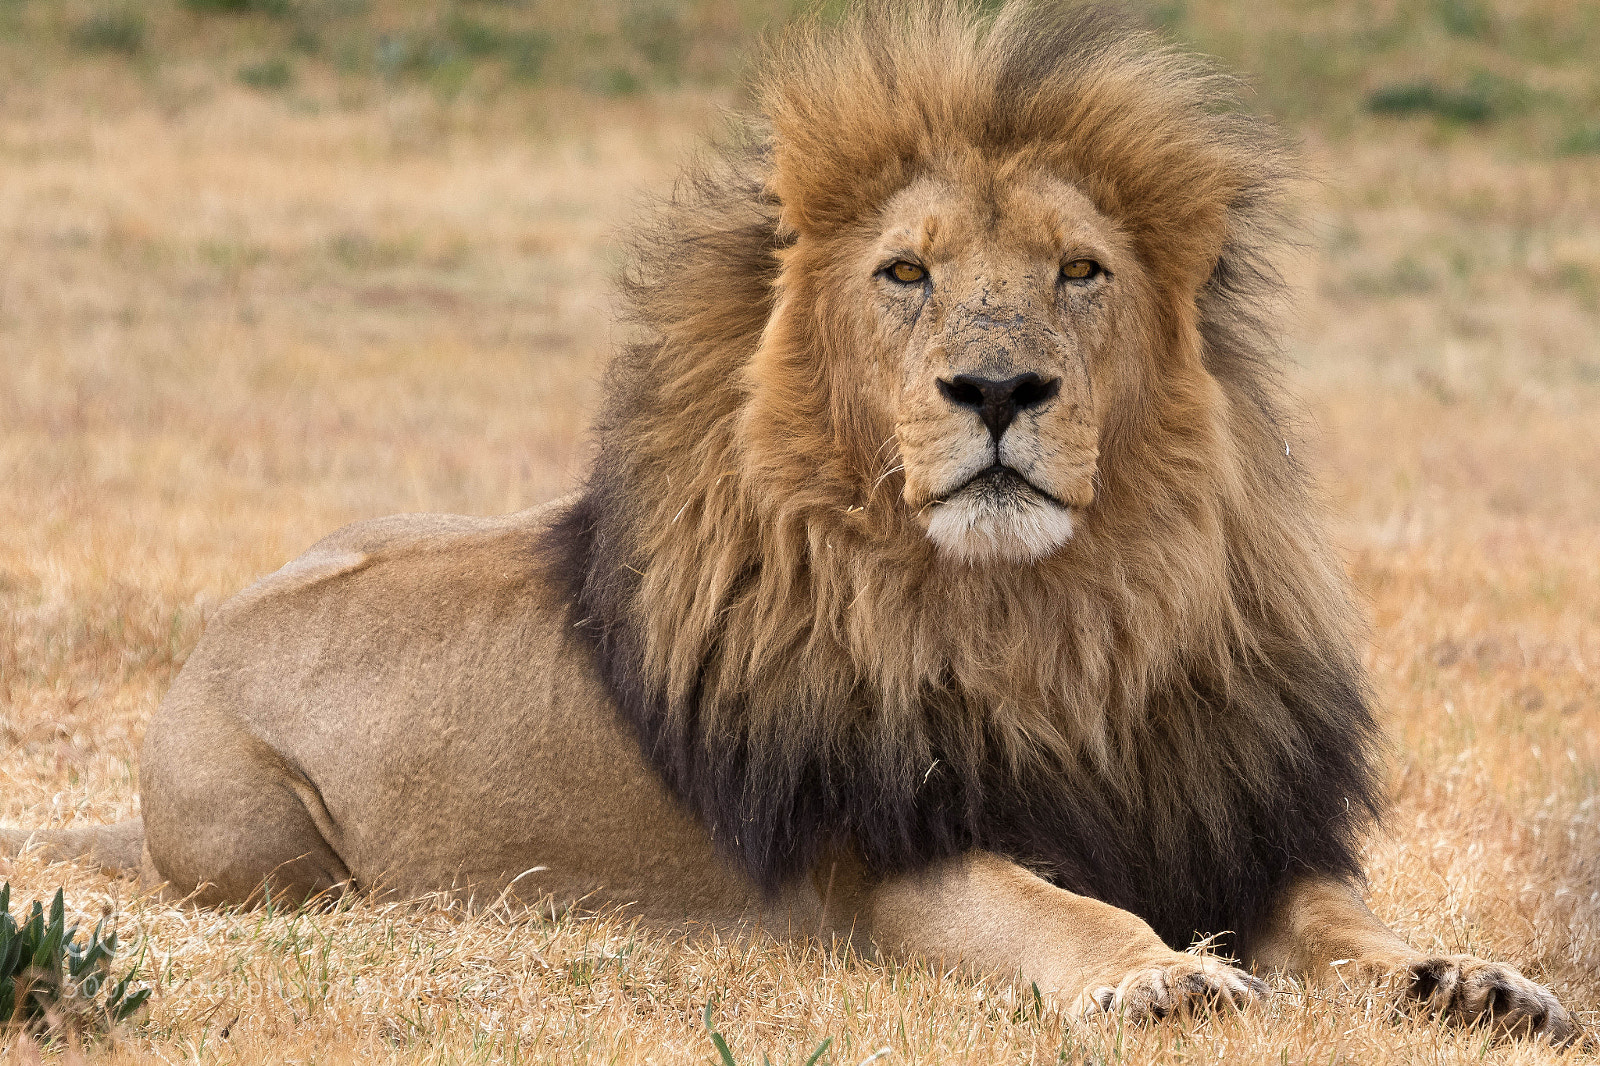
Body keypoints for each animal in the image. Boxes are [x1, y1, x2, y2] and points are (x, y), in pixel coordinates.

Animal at [3, 0, 1576, 1040]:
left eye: (1079, 270)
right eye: (904, 273)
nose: (996, 388)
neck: (1061, 623)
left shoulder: (1217, 812)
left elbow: (1341, 918)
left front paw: (1465, 974)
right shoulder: (880, 864)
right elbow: (1052, 908)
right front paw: (1159, 973)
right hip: (266, 847)